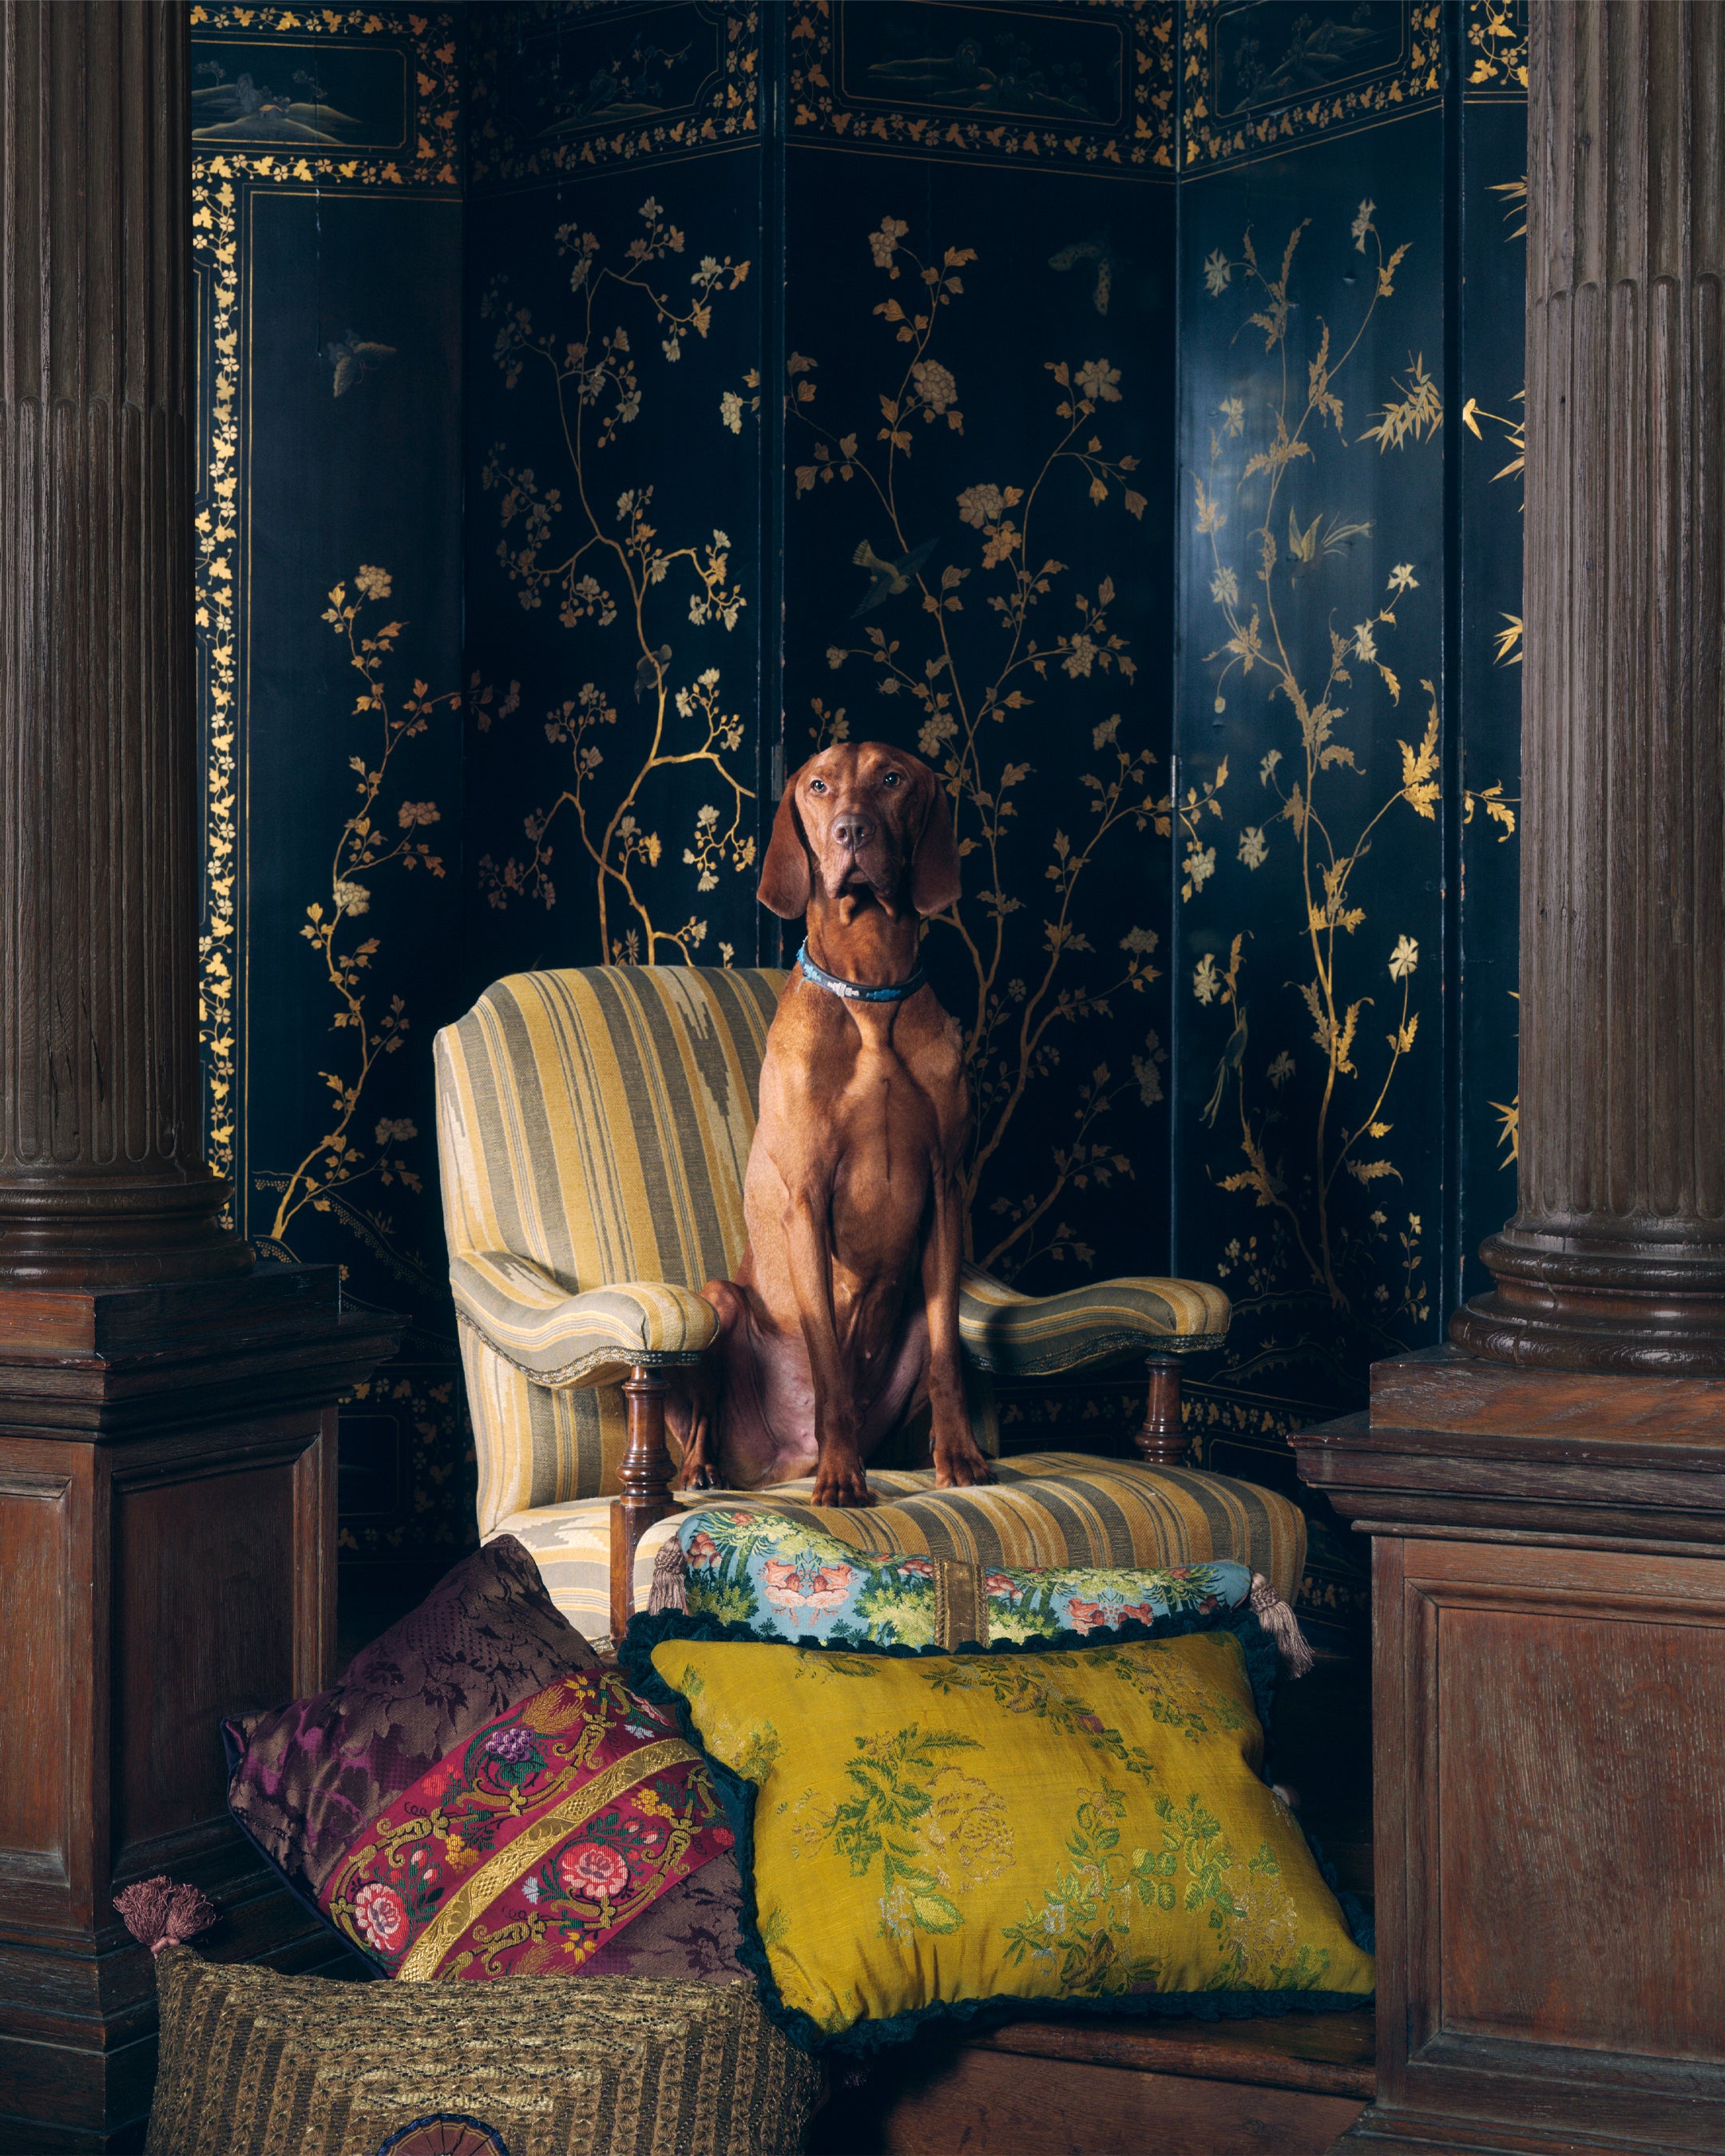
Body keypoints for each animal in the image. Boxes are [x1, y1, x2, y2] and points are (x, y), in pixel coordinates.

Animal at [668, 741, 992, 1500]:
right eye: (818, 786)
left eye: (892, 779)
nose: (850, 830)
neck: (871, 992)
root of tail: (782, 1463)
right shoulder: (806, 1197)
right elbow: (828, 1364)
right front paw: (845, 1477)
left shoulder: (946, 1188)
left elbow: (949, 1356)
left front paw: (959, 1456)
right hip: (720, 1301)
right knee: (702, 1418)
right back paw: (705, 1470)